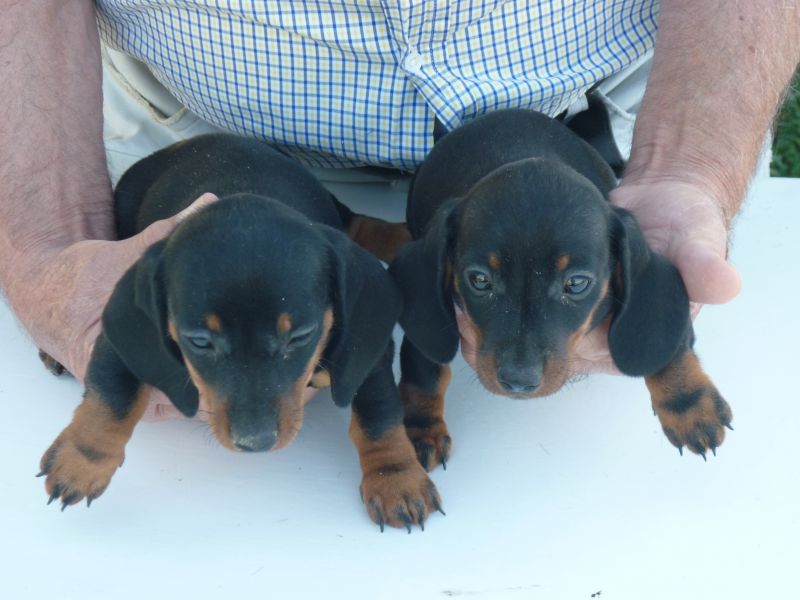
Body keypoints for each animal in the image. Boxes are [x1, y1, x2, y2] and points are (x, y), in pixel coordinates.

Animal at [37, 135, 440, 528]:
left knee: (356, 221)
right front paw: (81, 460)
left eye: (300, 336)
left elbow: (379, 414)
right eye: (200, 341)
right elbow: (113, 392)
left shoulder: (364, 349)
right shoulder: (129, 336)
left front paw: (396, 479)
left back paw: (403, 235)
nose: (255, 442)